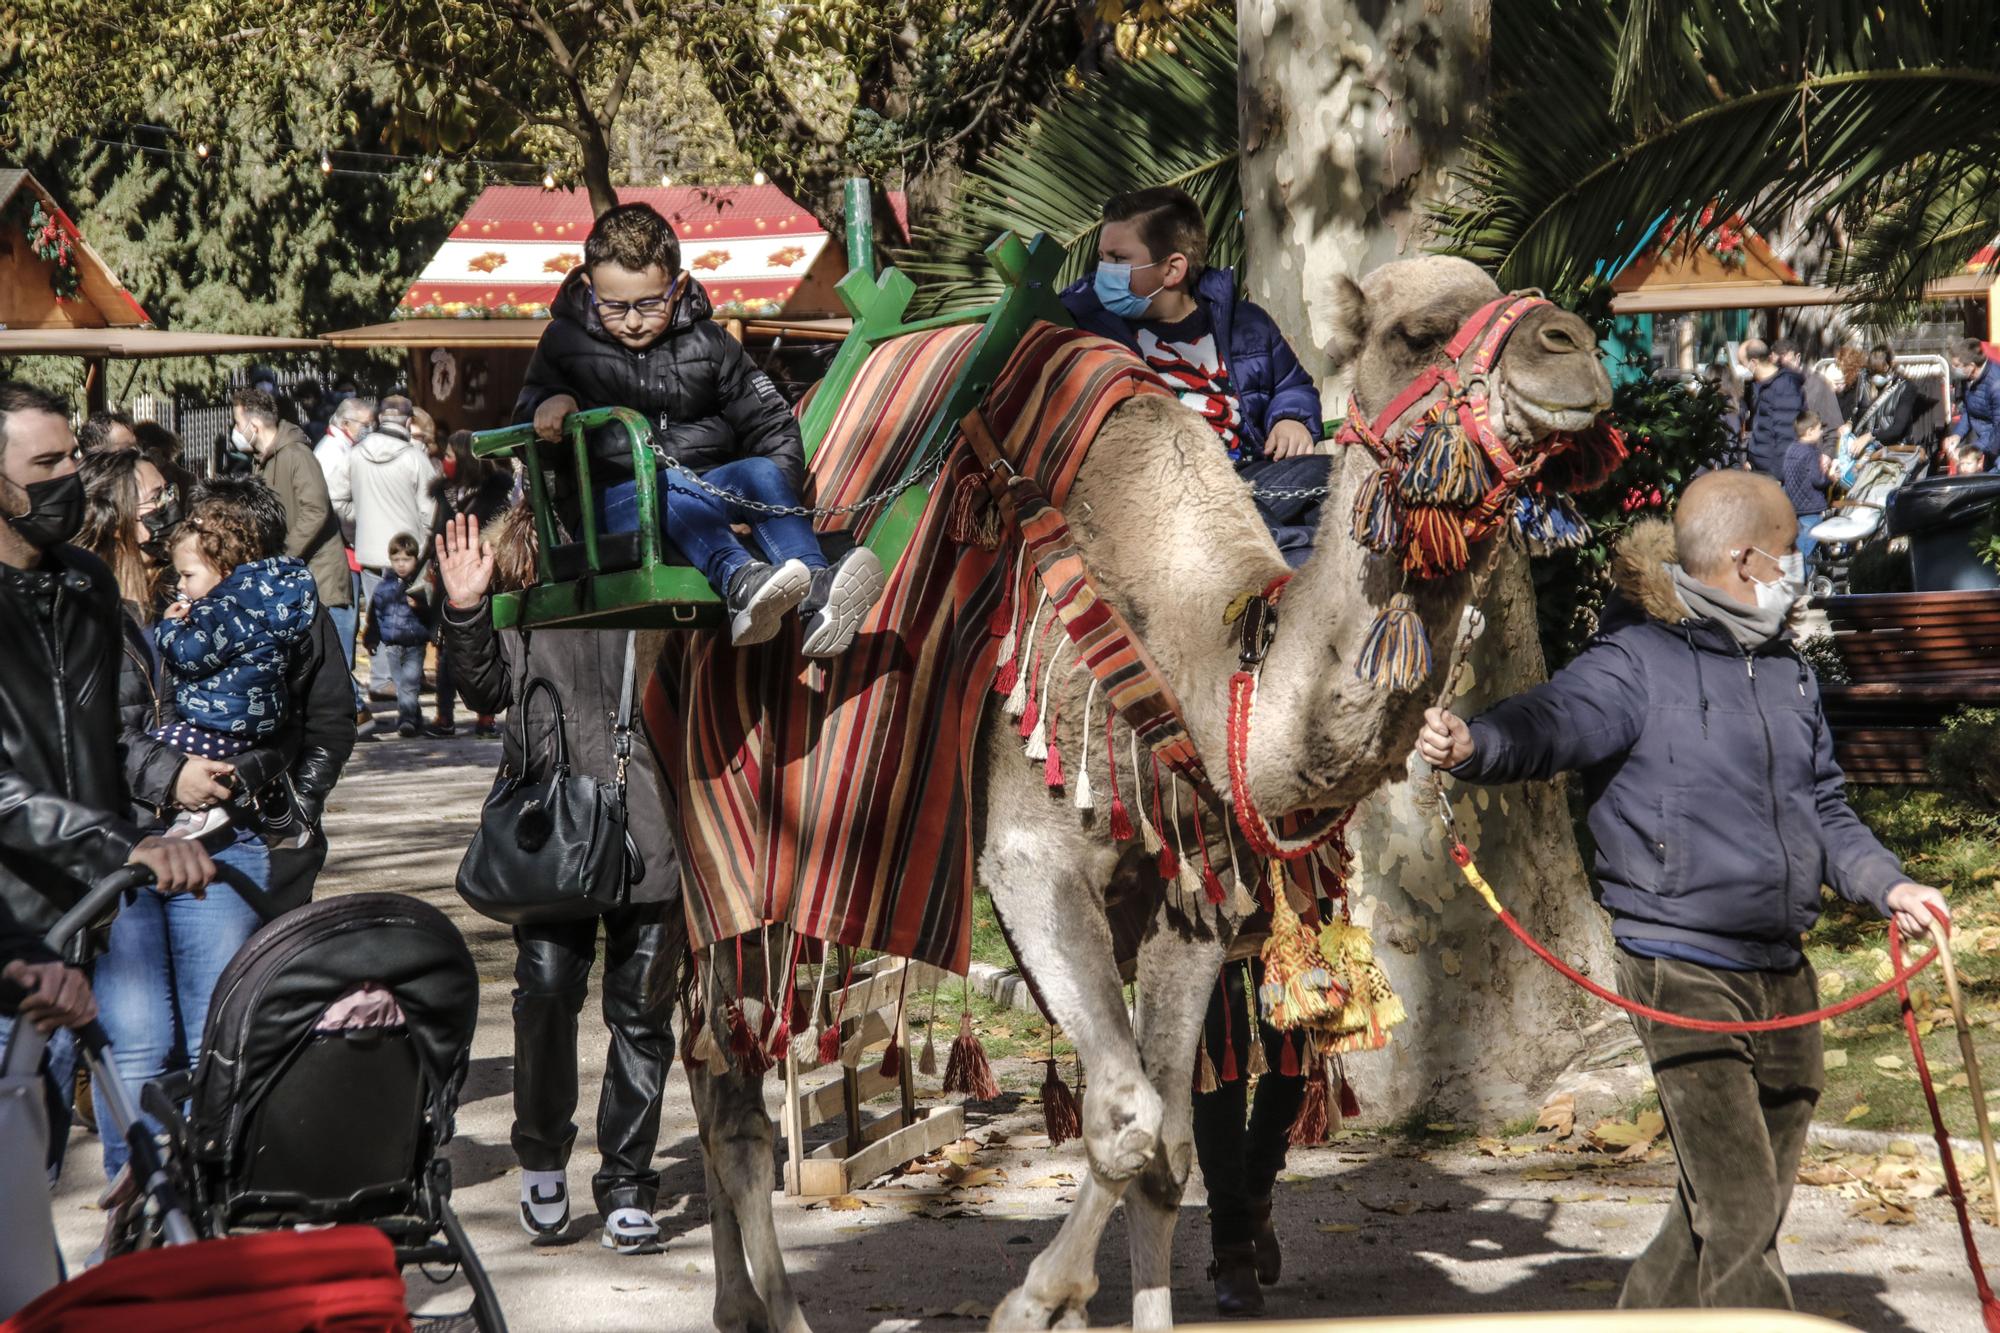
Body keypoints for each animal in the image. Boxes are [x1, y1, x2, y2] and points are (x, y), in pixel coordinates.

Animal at [648, 252, 1616, 1328]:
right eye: (1417, 333)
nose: (1574, 348)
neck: (1203, 661)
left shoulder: (1190, 897)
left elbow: (1170, 1150)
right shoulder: (1029, 857)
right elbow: (1125, 1115)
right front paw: (1033, 1303)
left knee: (710, 1062)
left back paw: (736, 1302)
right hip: (723, 851)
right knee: (729, 1077)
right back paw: (775, 1308)